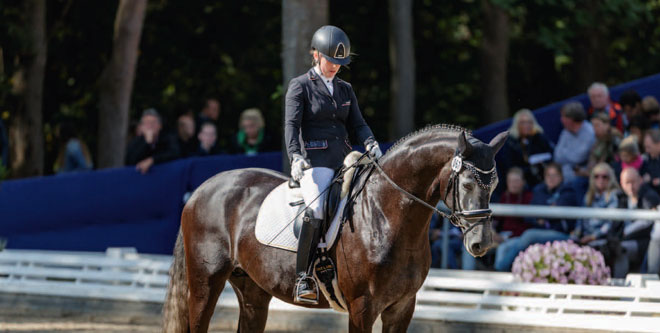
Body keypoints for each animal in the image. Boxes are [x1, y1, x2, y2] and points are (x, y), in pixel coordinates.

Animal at [162, 125, 508, 332]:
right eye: (467, 183)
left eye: (494, 185)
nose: (481, 244)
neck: (387, 215)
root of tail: (203, 188)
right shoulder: (362, 307)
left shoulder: (402, 307)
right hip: (205, 283)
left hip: (252, 292)